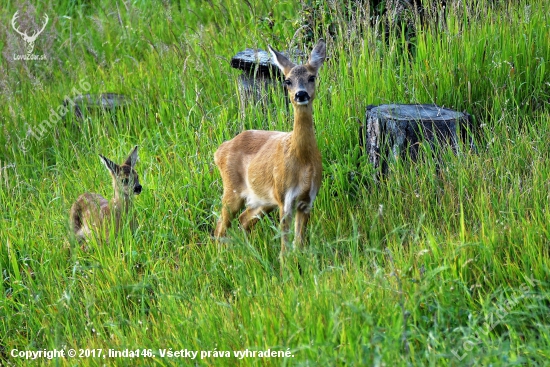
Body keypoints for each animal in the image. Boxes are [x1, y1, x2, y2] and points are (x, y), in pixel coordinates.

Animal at [215, 40, 328, 253]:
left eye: (312, 77)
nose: (301, 94)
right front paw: (285, 262)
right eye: (287, 81)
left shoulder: (307, 200)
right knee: (220, 227)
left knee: (243, 220)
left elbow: (299, 243)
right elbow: (285, 245)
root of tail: (219, 151)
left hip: (262, 199)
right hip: (232, 190)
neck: (302, 159)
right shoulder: (285, 198)